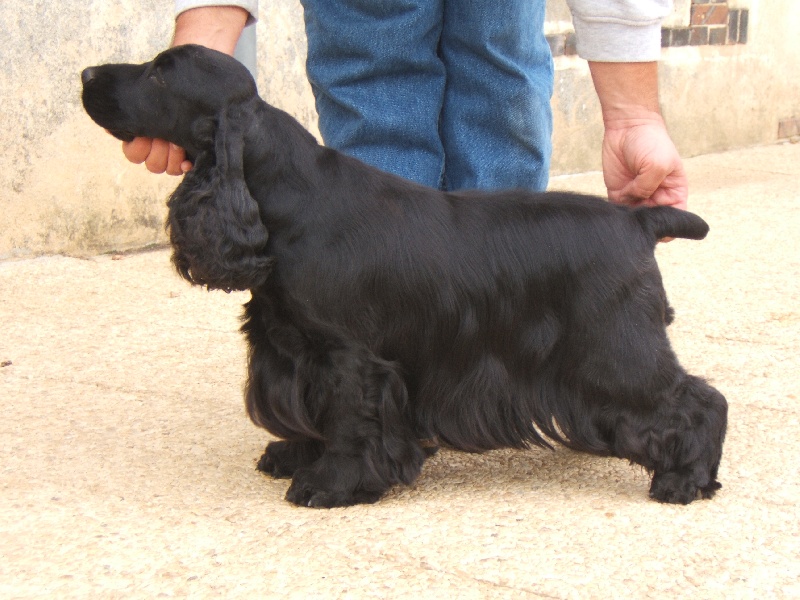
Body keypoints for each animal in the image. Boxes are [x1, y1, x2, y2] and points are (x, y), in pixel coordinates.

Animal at [81, 45, 727, 507]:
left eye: (160, 75)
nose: (86, 73)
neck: (284, 200)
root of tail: (638, 219)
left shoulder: (349, 355)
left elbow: (348, 420)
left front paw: (328, 484)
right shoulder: (290, 346)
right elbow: (311, 411)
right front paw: (294, 454)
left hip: (613, 348)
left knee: (700, 398)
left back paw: (686, 480)